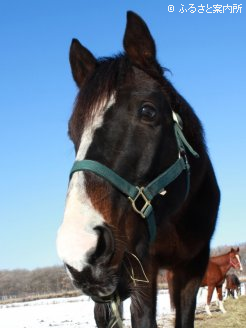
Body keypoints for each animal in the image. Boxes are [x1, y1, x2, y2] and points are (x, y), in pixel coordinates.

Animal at [56, 10, 220, 328]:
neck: (176, 215)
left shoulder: (192, 267)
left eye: (148, 111)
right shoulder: (142, 272)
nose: (79, 246)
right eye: (72, 132)